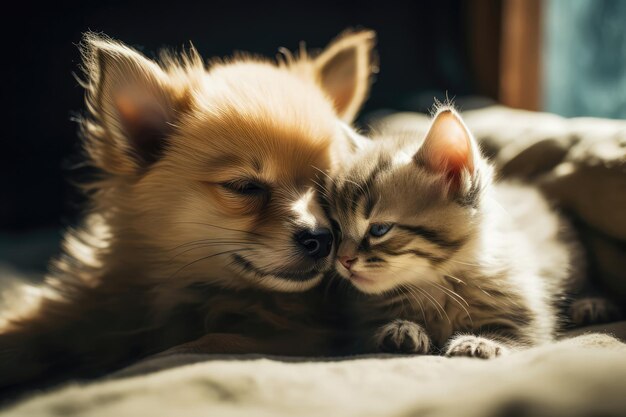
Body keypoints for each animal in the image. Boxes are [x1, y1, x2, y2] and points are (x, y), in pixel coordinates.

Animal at [326, 106, 584, 358]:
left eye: (379, 229)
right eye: (338, 228)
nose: (342, 259)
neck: (438, 285)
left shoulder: (527, 318)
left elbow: (513, 337)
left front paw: (480, 342)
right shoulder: (361, 328)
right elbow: (369, 334)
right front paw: (400, 330)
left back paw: (587, 306)